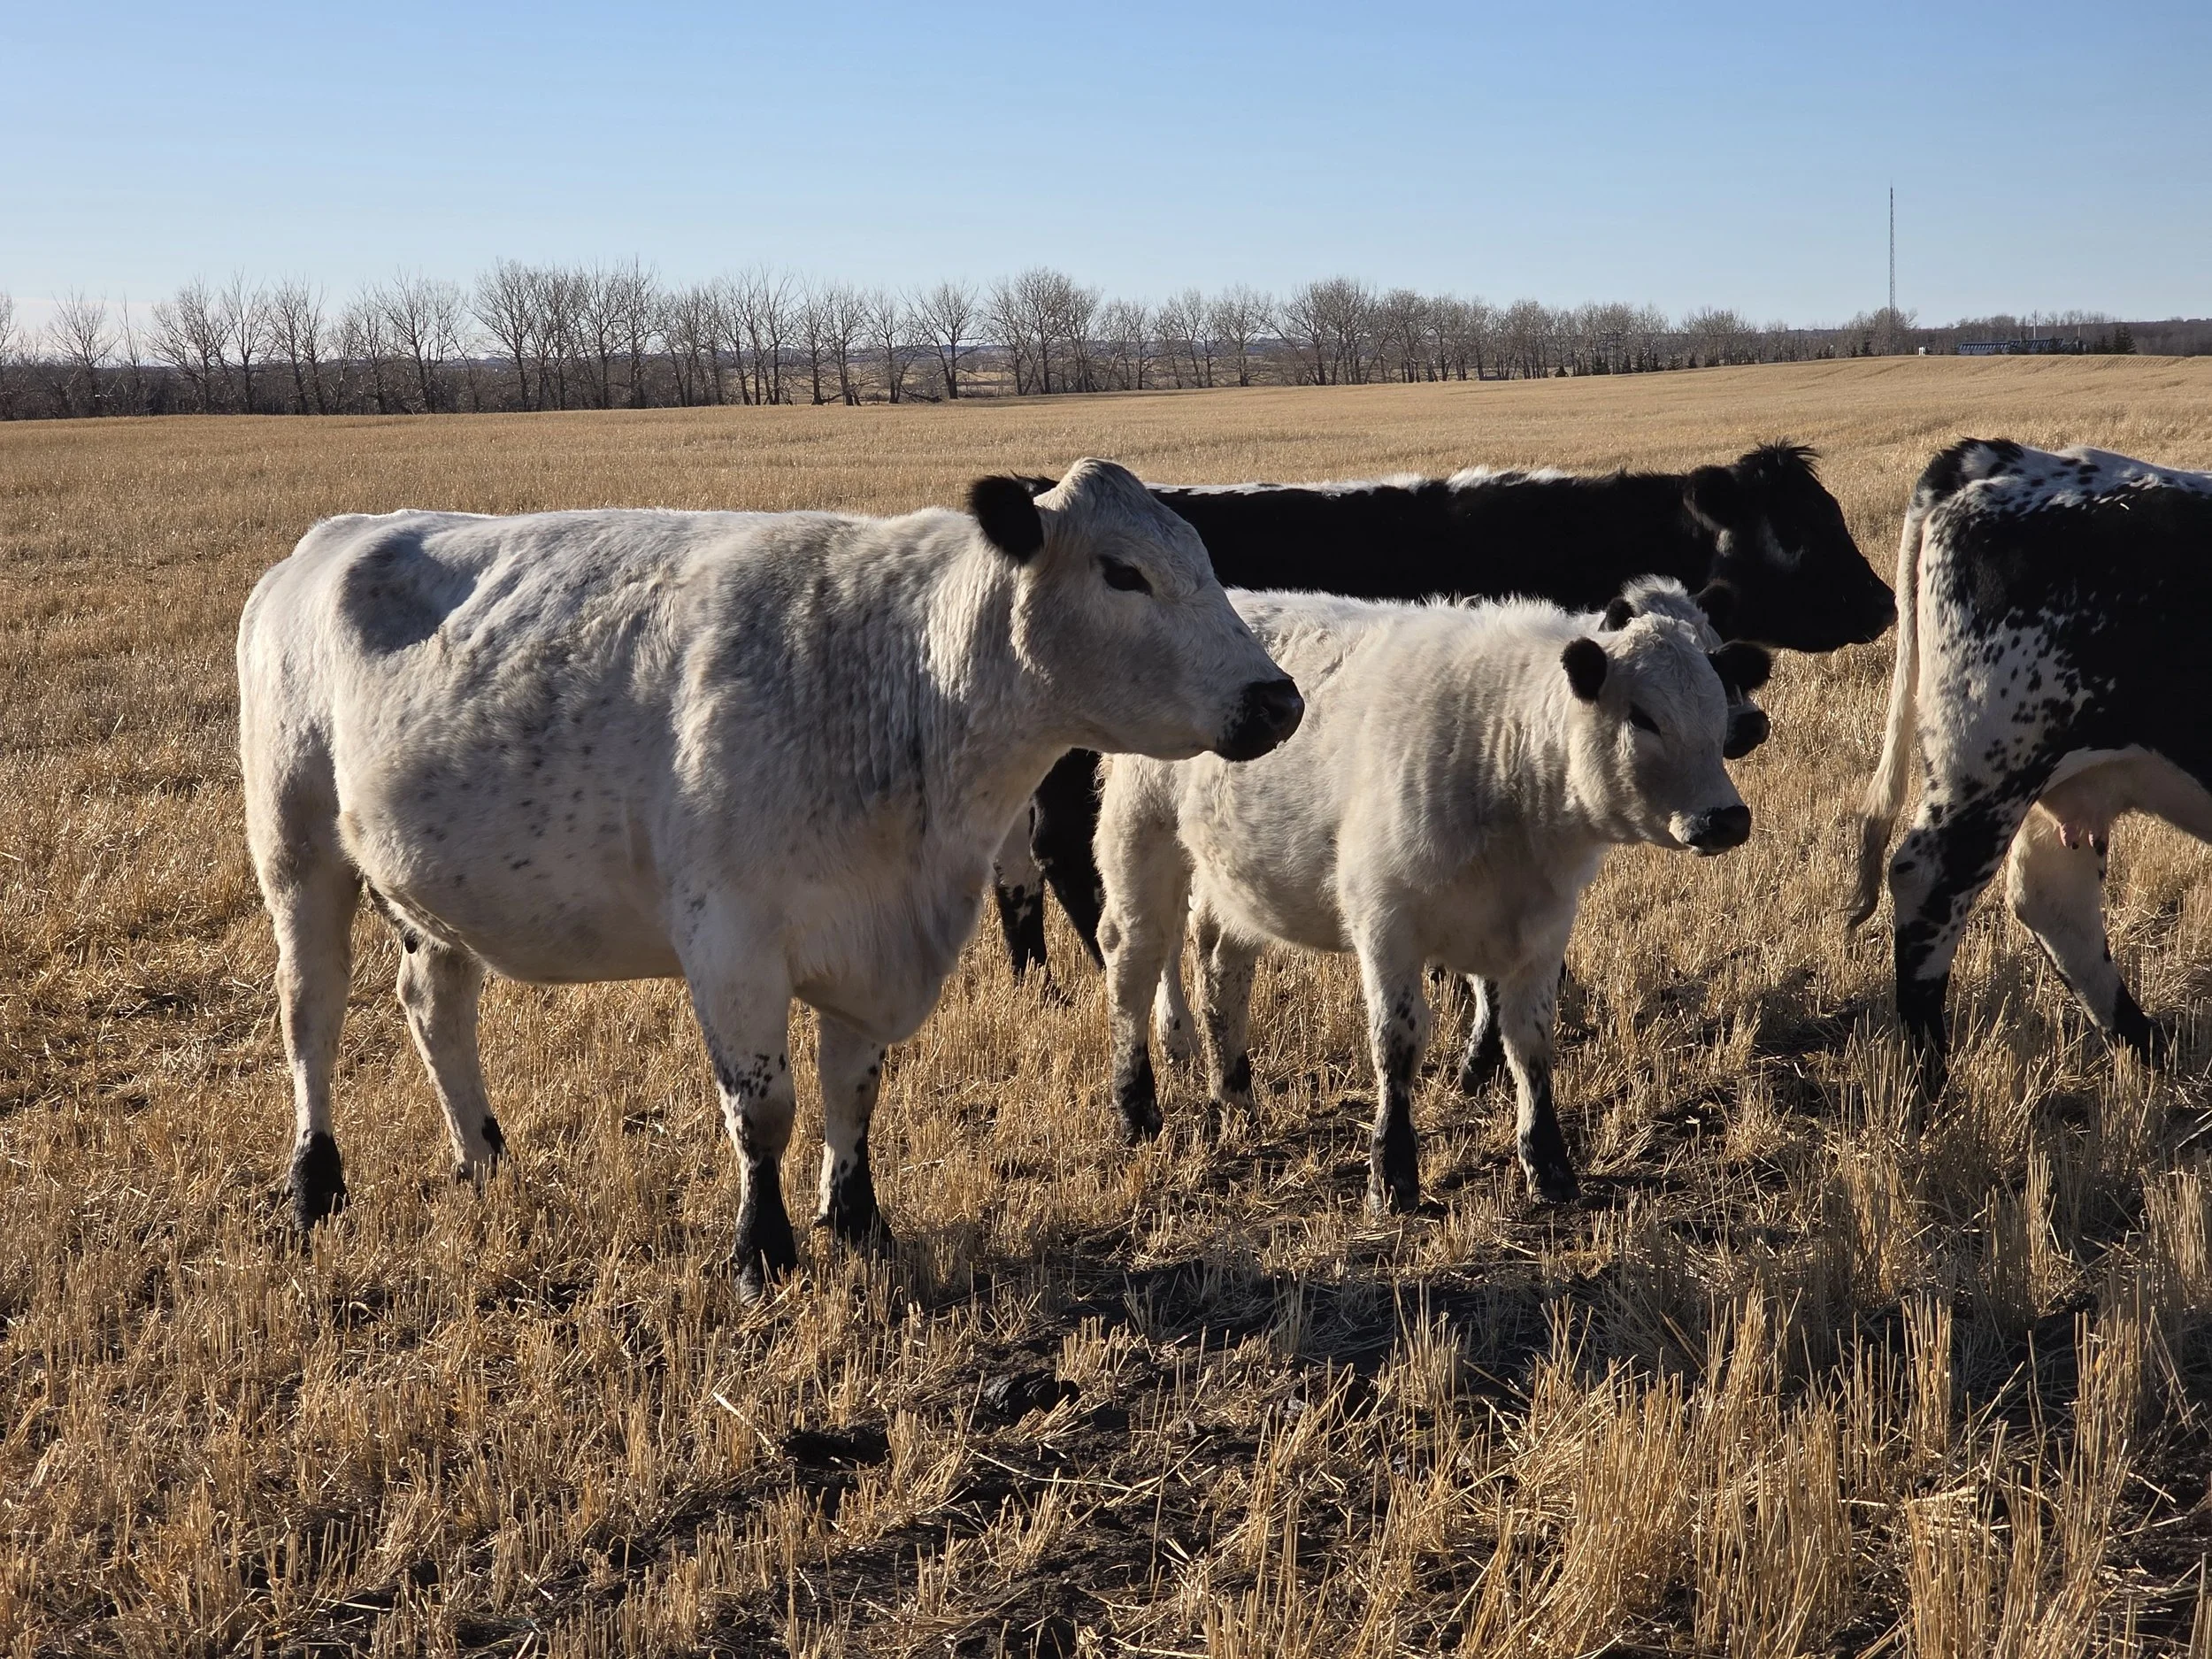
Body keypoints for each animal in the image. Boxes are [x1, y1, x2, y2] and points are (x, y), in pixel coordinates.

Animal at [237, 460, 1303, 1300]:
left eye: (1202, 559)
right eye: (1124, 572)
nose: (1277, 698)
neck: (897, 680)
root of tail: (325, 540)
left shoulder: (870, 946)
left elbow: (852, 1089)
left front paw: (860, 1221)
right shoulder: (732, 945)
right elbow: (763, 1110)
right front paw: (763, 1253)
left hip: (426, 891)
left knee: (435, 1005)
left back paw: (485, 1162)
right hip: (296, 852)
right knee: (311, 1015)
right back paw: (314, 1186)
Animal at [1095, 586, 1750, 1211]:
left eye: (1719, 714)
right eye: (1643, 717)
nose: (1727, 817)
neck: (1500, 750)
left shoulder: (1542, 932)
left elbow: (1530, 1043)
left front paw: (1549, 1167)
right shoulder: (1387, 924)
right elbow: (1398, 1044)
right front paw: (1392, 1174)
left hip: (1230, 881)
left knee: (1220, 964)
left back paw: (1235, 1096)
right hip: (1139, 836)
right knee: (1133, 962)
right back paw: (1137, 1109)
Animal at [1850, 439, 2212, 1096]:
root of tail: (2002, 457)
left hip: (2062, 777)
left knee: (2052, 897)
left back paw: (2150, 1046)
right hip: (1990, 771)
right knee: (1928, 884)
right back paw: (1931, 1081)